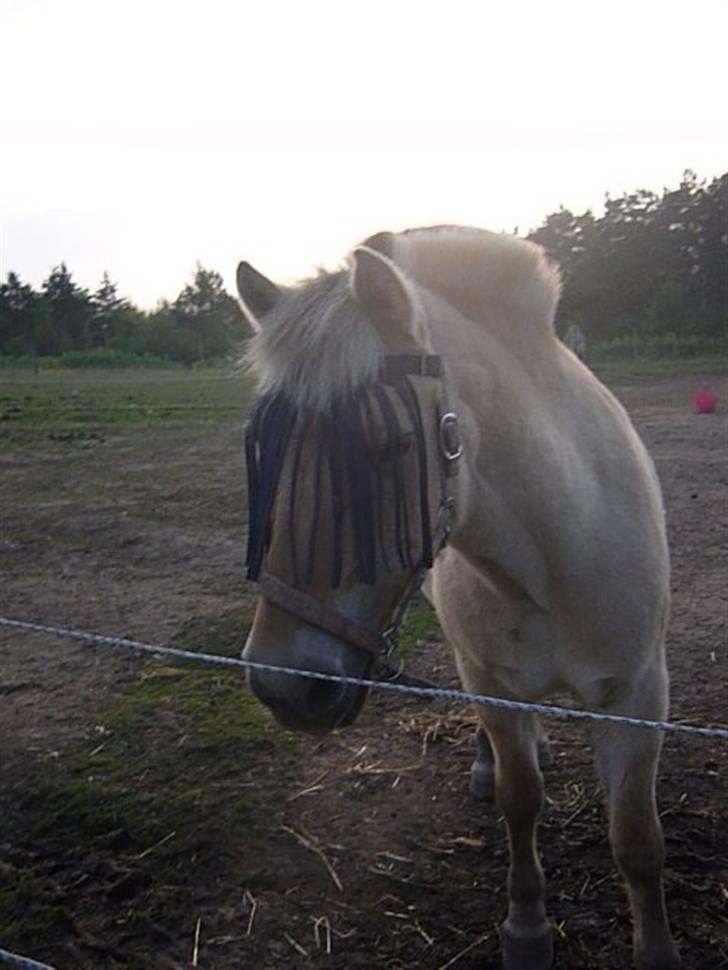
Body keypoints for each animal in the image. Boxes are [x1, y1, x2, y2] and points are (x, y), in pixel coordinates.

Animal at [236, 229, 680, 968]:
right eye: (264, 452)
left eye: (392, 446)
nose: (283, 685)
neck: (554, 557)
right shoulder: (490, 681)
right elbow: (519, 798)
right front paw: (526, 929)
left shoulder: (638, 694)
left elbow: (637, 840)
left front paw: (656, 949)